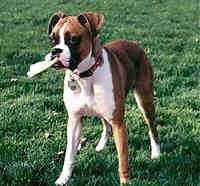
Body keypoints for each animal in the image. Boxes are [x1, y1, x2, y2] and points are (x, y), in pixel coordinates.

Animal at [44, 10, 160, 185]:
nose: (55, 51)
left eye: (73, 40)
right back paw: (101, 146)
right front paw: (63, 178)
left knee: (152, 128)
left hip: (144, 100)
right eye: (53, 39)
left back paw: (156, 153)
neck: (85, 75)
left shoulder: (119, 123)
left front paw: (125, 181)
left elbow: (123, 157)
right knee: (106, 126)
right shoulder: (74, 121)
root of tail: (134, 43)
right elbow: (69, 155)